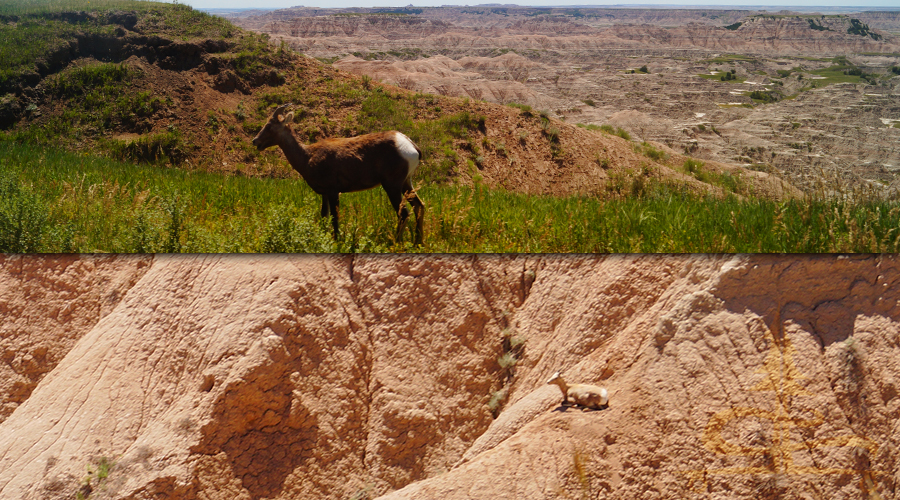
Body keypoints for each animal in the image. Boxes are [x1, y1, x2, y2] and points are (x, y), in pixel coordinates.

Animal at [250, 104, 426, 245]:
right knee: (419, 206)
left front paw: (337, 241)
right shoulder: (325, 194)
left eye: (270, 126)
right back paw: (418, 242)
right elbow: (324, 216)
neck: (308, 156)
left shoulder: (334, 192)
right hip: (406, 184)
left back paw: (396, 242)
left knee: (403, 213)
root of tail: (410, 145)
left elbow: (335, 217)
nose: (255, 141)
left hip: (392, 186)